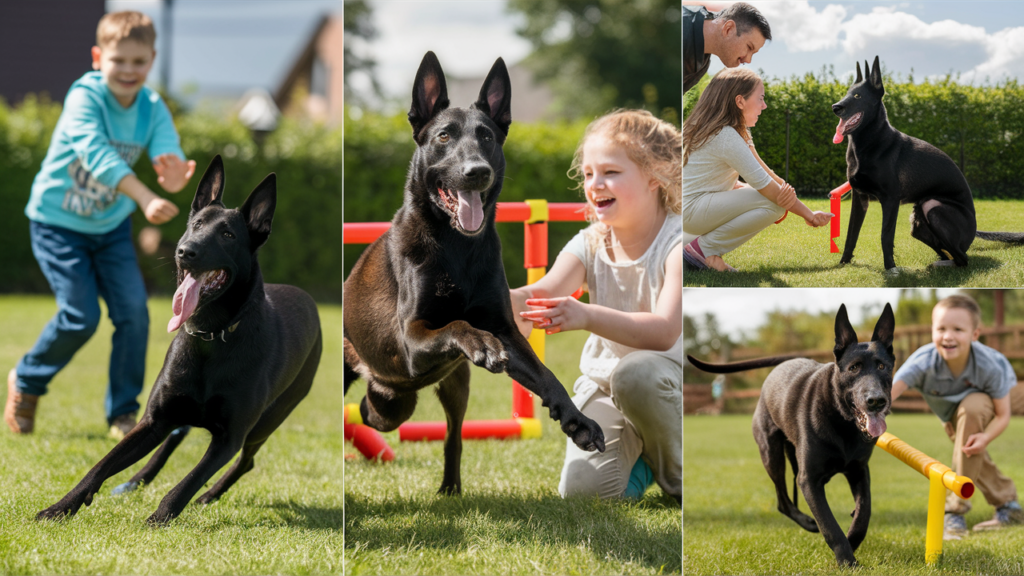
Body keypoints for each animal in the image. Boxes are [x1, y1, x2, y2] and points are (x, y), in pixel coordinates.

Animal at [37, 154, 319, 522]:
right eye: (196, 224)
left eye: (228, 234)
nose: (186, 251)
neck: (210, 337)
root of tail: (308, 297)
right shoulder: (154, 420)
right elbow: (101, 465)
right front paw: (61, 506)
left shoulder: (229, 438)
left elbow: (189, 480)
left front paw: (160, 517)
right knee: (174, 437)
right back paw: (137, 480)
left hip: (266, 423)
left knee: (246, 462)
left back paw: (209, 495)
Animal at [344, 52, 602, 494]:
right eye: (444, 137)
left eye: (487, 137)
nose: (477, 171)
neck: (456, 247)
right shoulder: (413, 339)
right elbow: (457, 324)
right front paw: (479, 342)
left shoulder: (507, 331)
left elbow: (546, 375)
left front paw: (577, 420)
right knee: (371, 410)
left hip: (449, 387)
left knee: (448, 435)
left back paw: (450, 486)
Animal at [688, 303, 897, 561]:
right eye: (854, 368)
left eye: (882, 366)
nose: (876, 401)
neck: (842, 421)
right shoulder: (809, 480)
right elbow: (829, 524)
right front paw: (847, 559)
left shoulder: (859, 470)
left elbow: (864, 513)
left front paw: (853, 539)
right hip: (771, 453)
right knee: (783, 501)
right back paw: (808, 522)